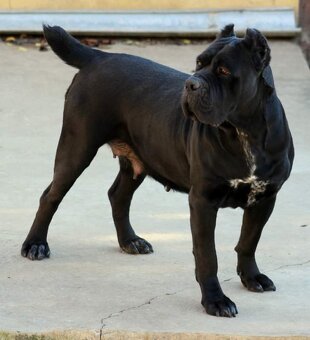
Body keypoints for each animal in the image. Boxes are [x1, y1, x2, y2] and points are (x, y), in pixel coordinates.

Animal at [21, 23, 294, 316]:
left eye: (223, 71)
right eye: (198, 63)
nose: (191, 83)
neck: (244, 131)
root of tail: (99, 57)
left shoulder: (265, 198)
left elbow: (249, 241)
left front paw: (251, 276)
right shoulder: (203, 201)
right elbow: (207, 255)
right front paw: (215, 300)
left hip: (138, 160)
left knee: (118, 196)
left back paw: (130, 241)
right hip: (77, 147)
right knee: (51, 195)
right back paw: (35, 244)